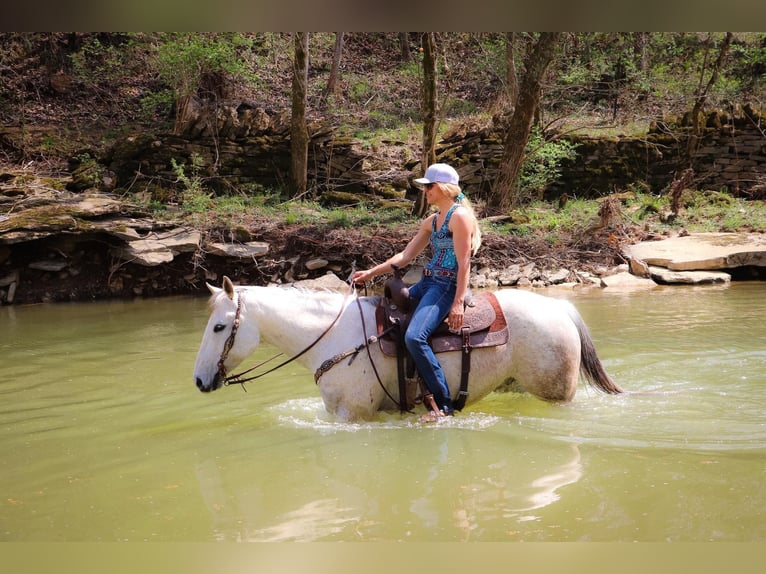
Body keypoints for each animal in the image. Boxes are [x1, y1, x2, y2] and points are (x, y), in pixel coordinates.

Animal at [192, 276, 624, 420]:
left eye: (219, 326)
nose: (198, 381)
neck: (334, 337)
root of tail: (561, 308)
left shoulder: (353, 415)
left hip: (557, 394)